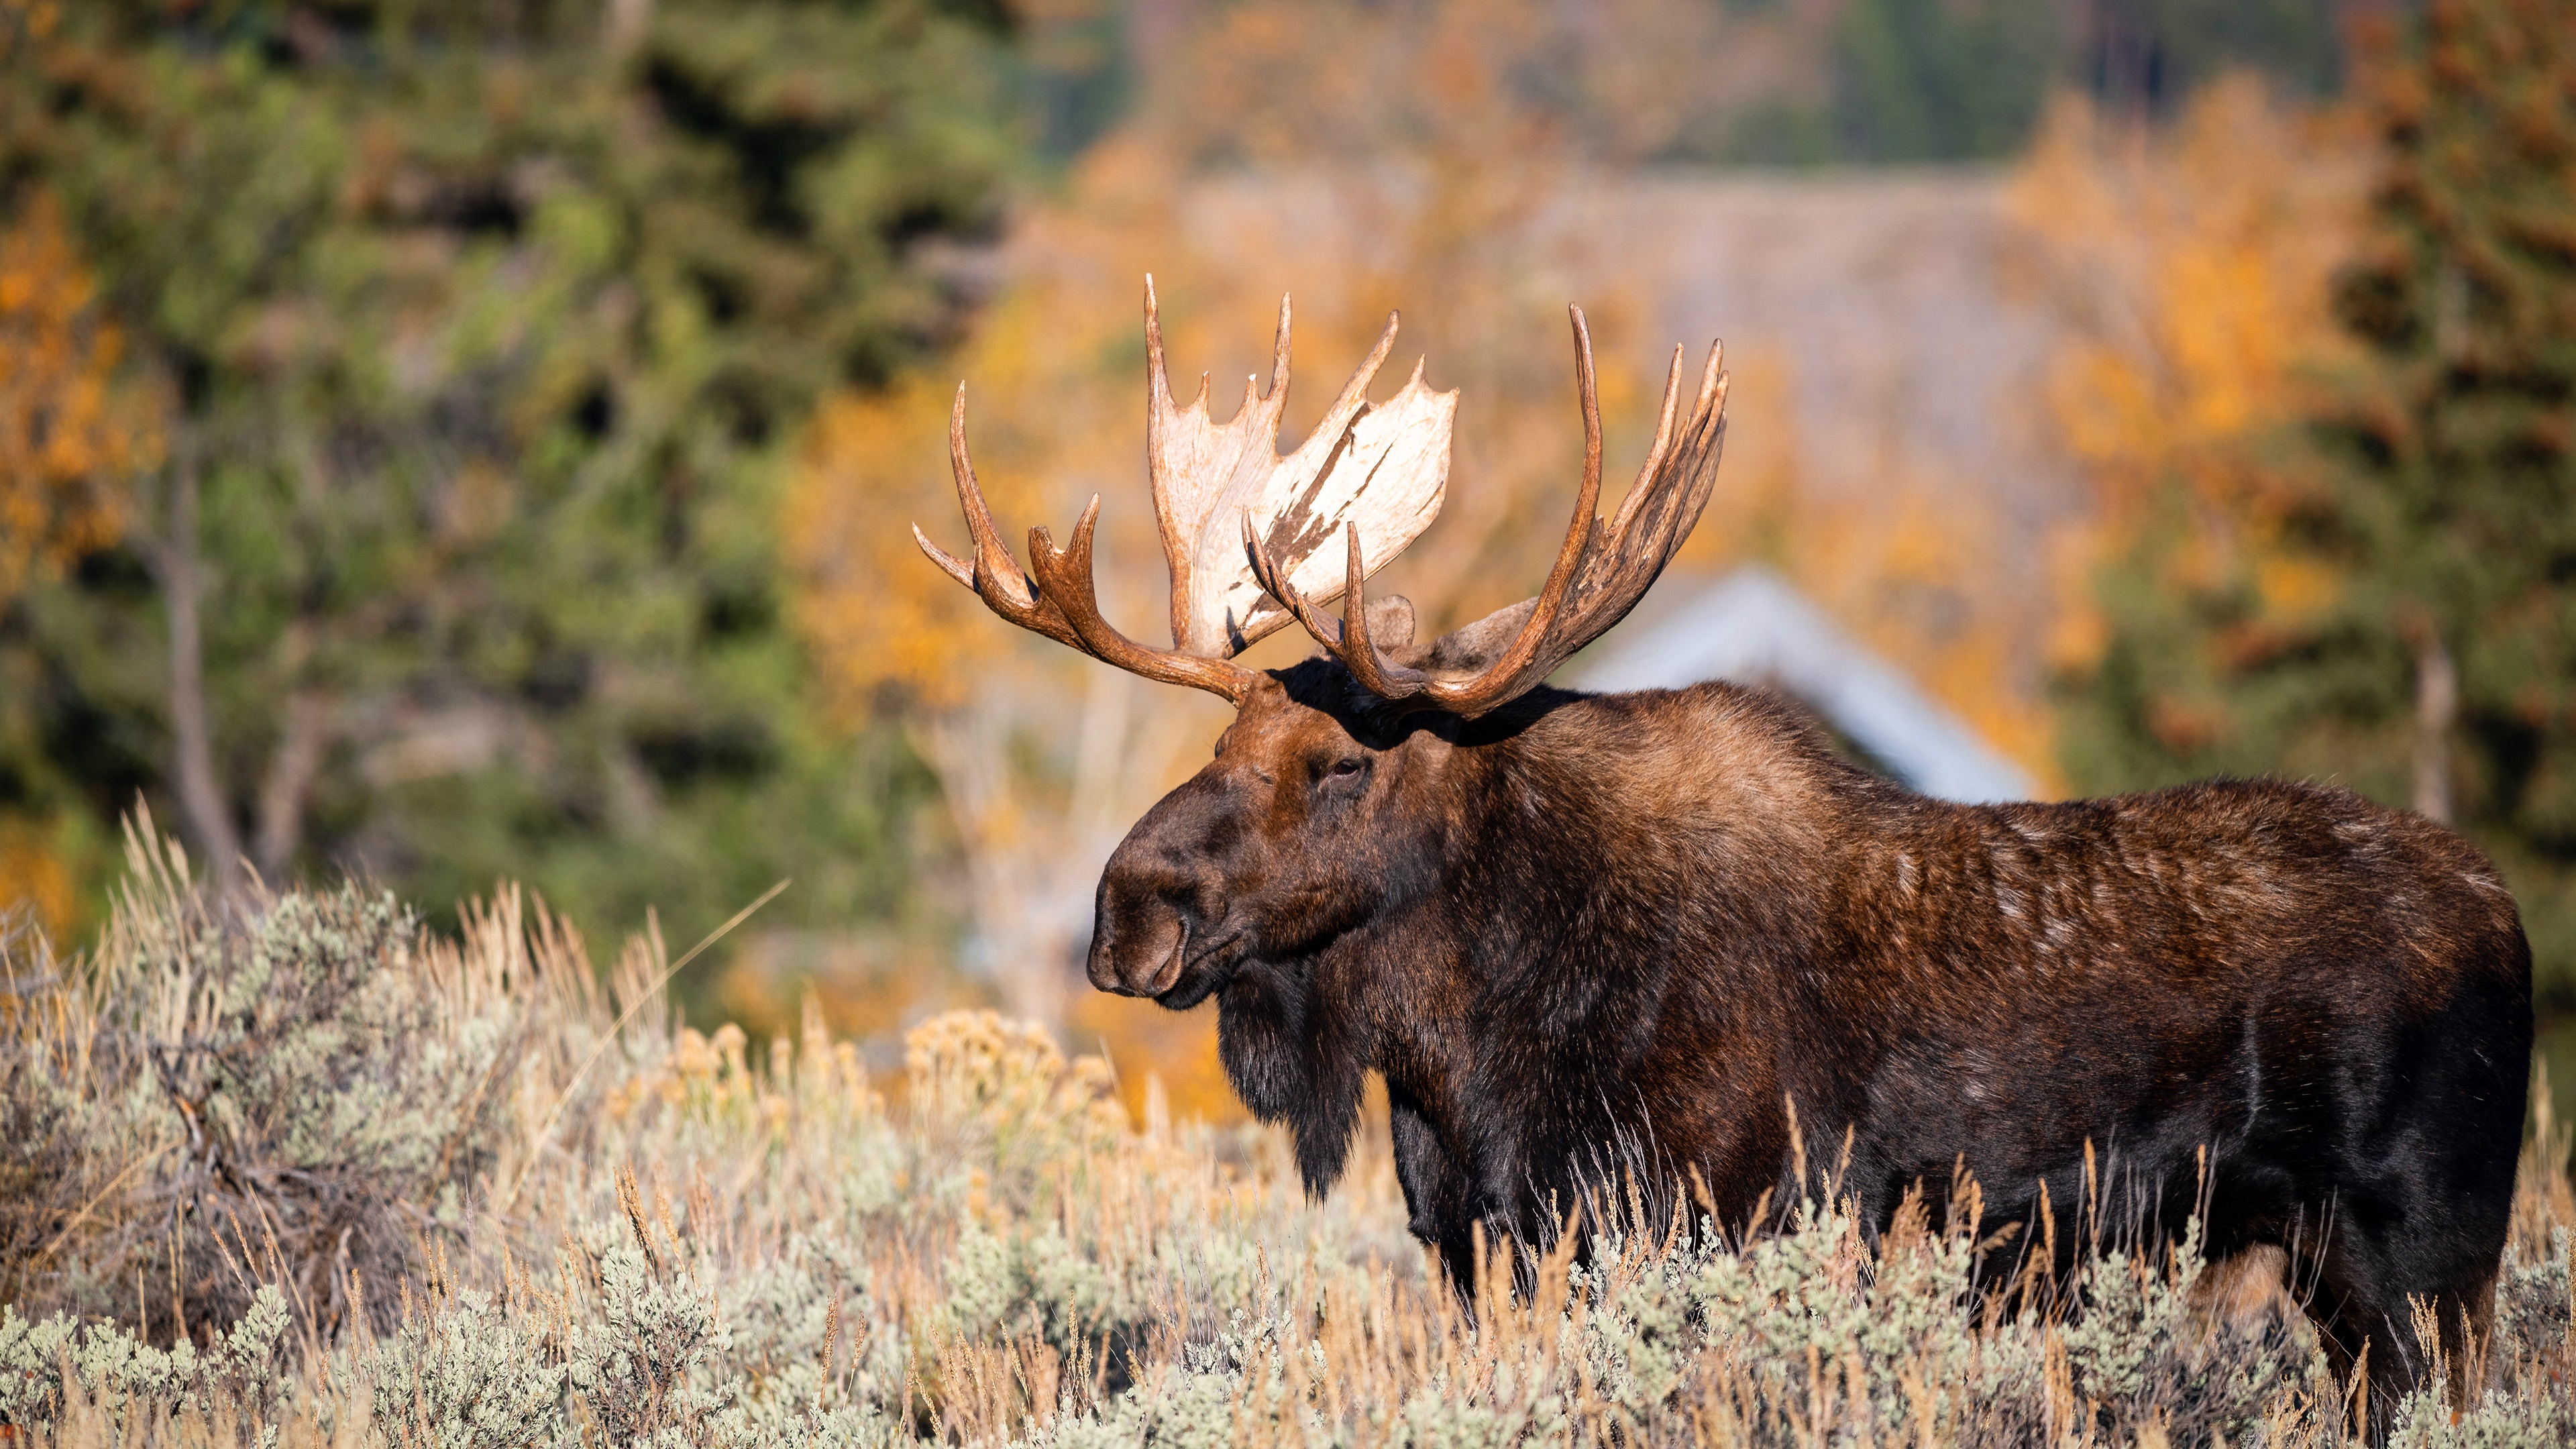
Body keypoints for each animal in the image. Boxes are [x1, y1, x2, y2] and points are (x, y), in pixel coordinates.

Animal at [912, 282, 2534, 1402]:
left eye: (1340, 766)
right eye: (1215, 750)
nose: (1127, 911)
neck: (1466, 1057)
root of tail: (2508, 915)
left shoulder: (1720, 1218)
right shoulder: (1482, 1244)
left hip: (2426, 1251)